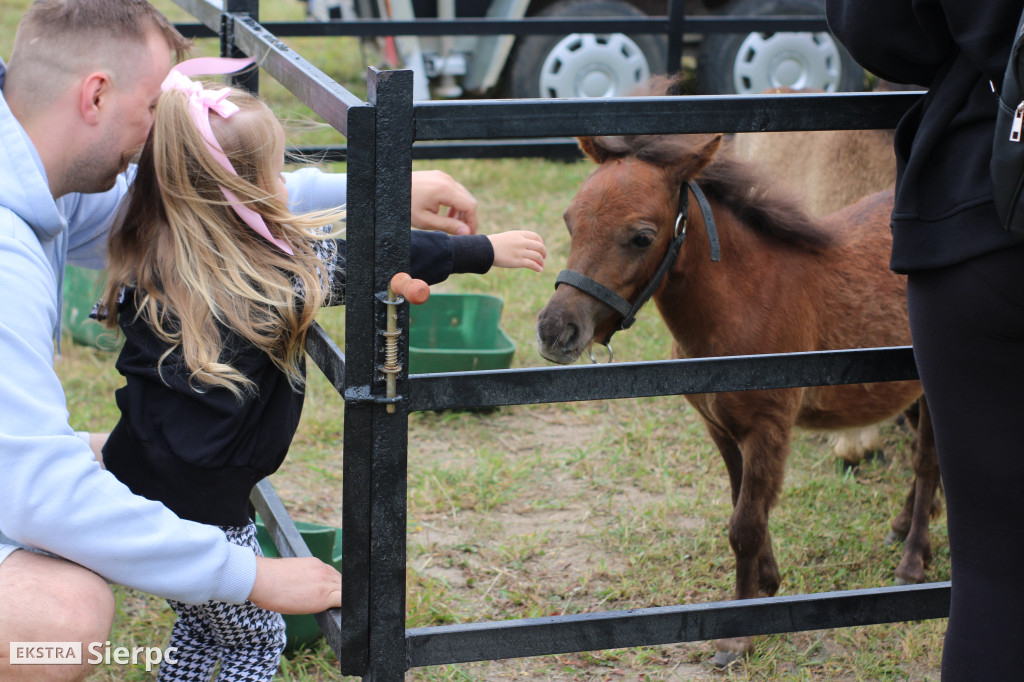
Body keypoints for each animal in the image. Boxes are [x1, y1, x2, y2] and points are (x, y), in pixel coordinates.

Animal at [536, 129, 942, 663]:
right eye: (570, 221)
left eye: (642, 236)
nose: (555, 331)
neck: (745, 302)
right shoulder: (721, 428)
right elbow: (744, 506)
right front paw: (768, 583)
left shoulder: (768, 428)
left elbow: (745, 524)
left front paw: (738, 635)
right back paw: (902, 526)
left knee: (927, 461)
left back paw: (913, 560)